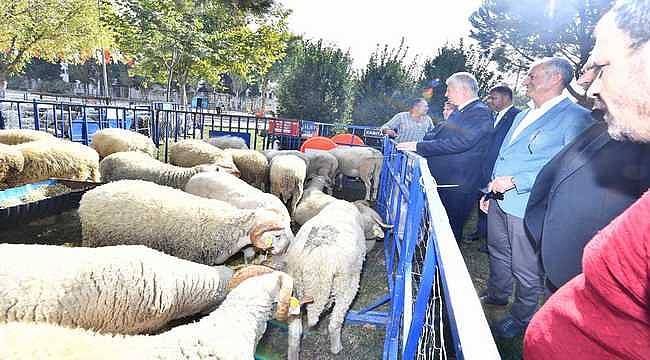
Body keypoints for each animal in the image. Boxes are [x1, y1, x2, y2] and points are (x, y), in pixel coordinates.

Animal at [280, 200, 388, 358]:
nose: (380, 237)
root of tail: (316, 264)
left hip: (293, 288)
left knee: (294, 333)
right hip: (346, 285)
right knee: (334, 323)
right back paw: (337, 348)